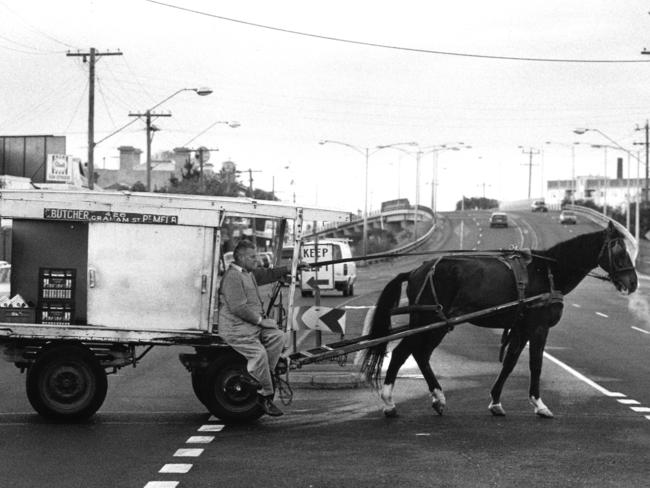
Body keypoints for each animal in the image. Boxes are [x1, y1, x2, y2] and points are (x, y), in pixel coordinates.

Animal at [362, 223, 636, 418]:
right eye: (619, 251)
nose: (633, 283)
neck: (546, 273)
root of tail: (416, 270)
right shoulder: (538, 327)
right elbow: (535, 364)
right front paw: (539, 404)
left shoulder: (521, 328)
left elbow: (510, 363)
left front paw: (495, 401)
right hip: (426, 320)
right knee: (403, 352)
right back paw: (390, 402)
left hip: (438, 324)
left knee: (420, 354)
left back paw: (437, 398)